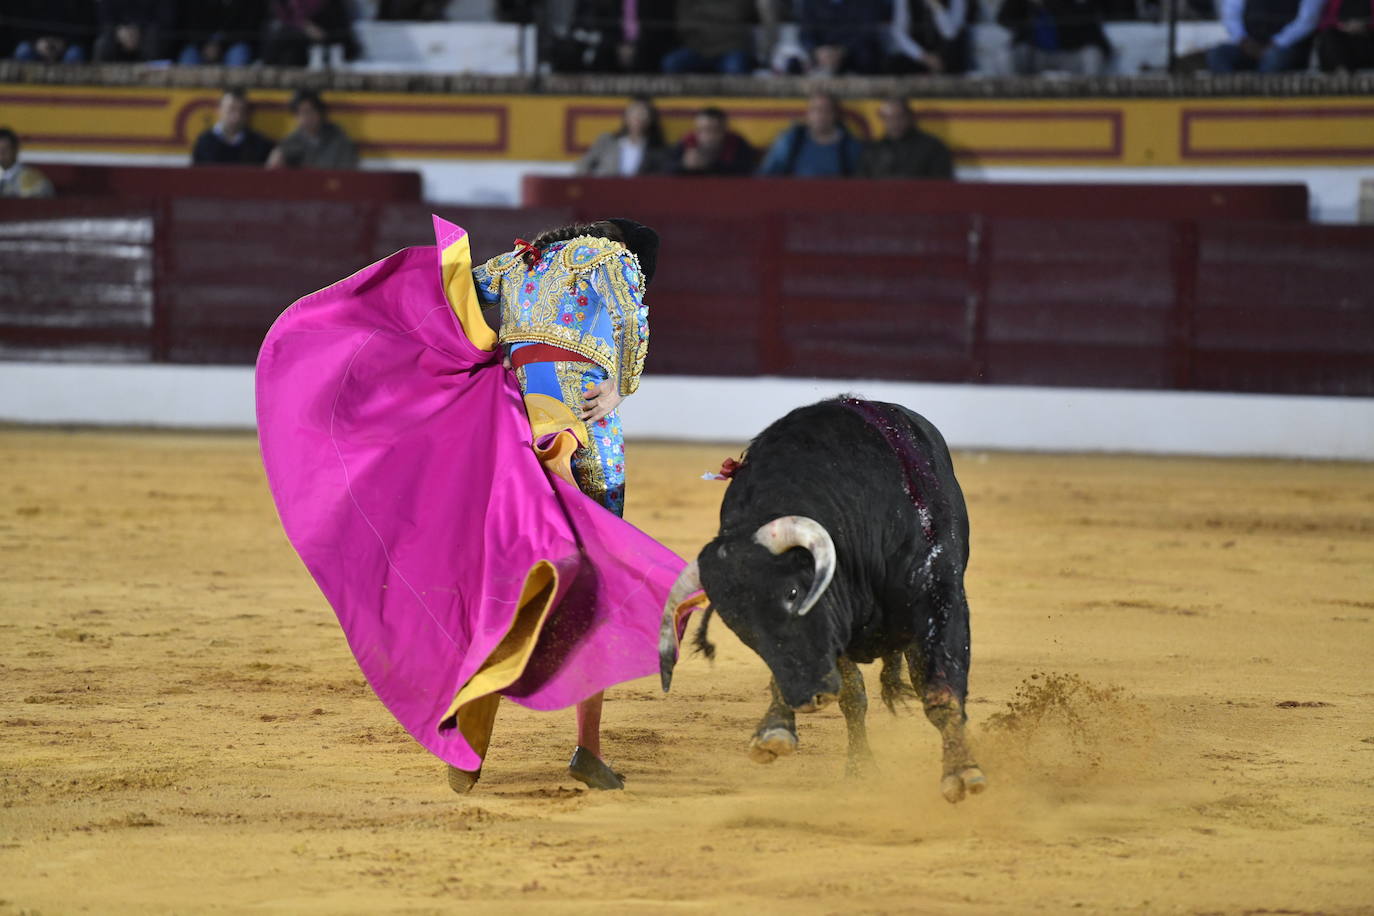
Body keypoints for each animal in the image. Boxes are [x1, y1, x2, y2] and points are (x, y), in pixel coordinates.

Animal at [656, 398, 989, 807]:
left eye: (793, 593)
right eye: (738, 626)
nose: (807, 696)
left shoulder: (939, 594)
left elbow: (940, 686)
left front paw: (961, 771)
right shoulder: (836, 627)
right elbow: (851, 694)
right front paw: (849, 765)